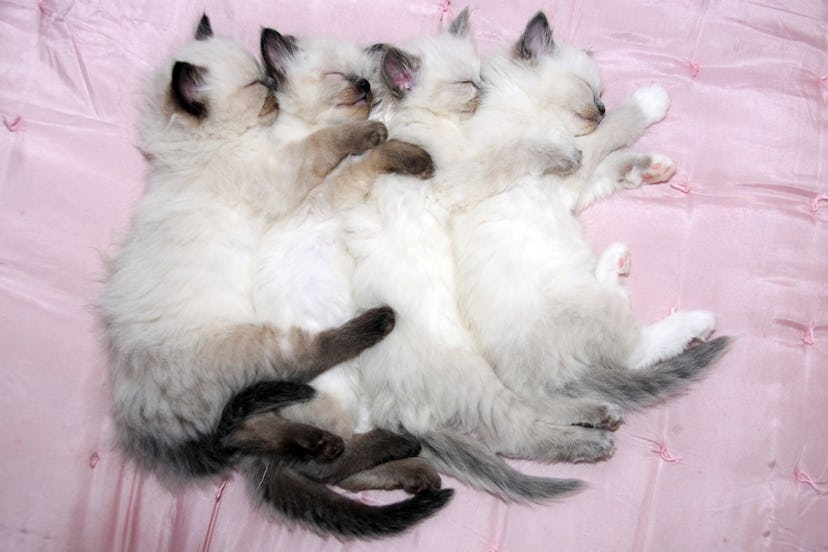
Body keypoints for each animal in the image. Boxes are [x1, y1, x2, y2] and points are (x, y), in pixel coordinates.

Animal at [330, 11, 616, 504]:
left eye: (481, 76)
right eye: (469, 83)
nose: (603, 110)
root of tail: (394, 411)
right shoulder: (457, 178)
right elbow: (516, 154)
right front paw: (564, 154)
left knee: (527, 401)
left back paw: (597, 413)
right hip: (476, 378)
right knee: (515, 430)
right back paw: (589, 440)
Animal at [446, 11, 732, 418]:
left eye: (601, 96)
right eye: (591, 91)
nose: (602, 109)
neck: (518, 104)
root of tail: (533, 387)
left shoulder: (573, 188)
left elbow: (611, 166)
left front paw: (652, 168)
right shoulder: (570, 158)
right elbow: (614, 132)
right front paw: (650, 101)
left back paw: (616, 261)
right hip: (583, 305)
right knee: (633, 351)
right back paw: (698, 322)